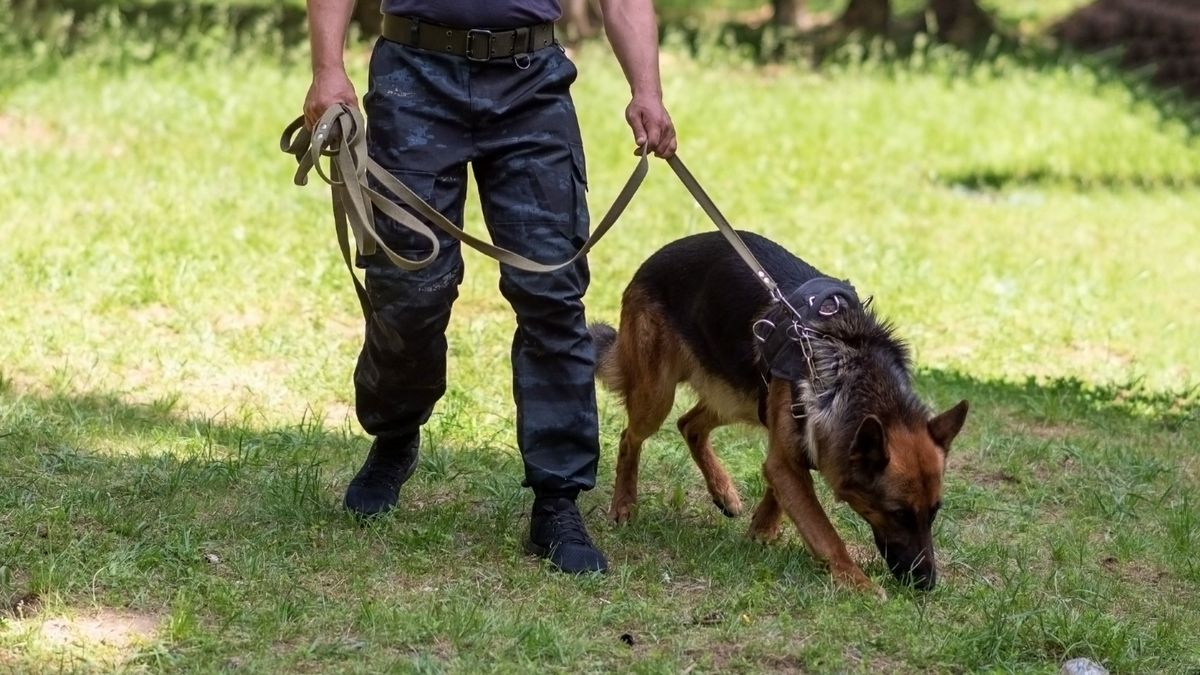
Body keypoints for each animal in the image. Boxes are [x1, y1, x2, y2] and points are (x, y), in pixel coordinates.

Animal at [595, 230, 969, 593]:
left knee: (689, 424)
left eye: (934, 512)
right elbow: (822, 530)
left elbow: (779, 488)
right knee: (630, 437)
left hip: (739, 397)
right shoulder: (786, 459)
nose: (927, 583)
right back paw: (624, 504)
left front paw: (762, 529)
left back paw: (723, 491)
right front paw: (857, 582)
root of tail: (655, 258)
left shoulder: (790, 449)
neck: (850, 365)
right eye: (898, 513)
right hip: (657, 397)